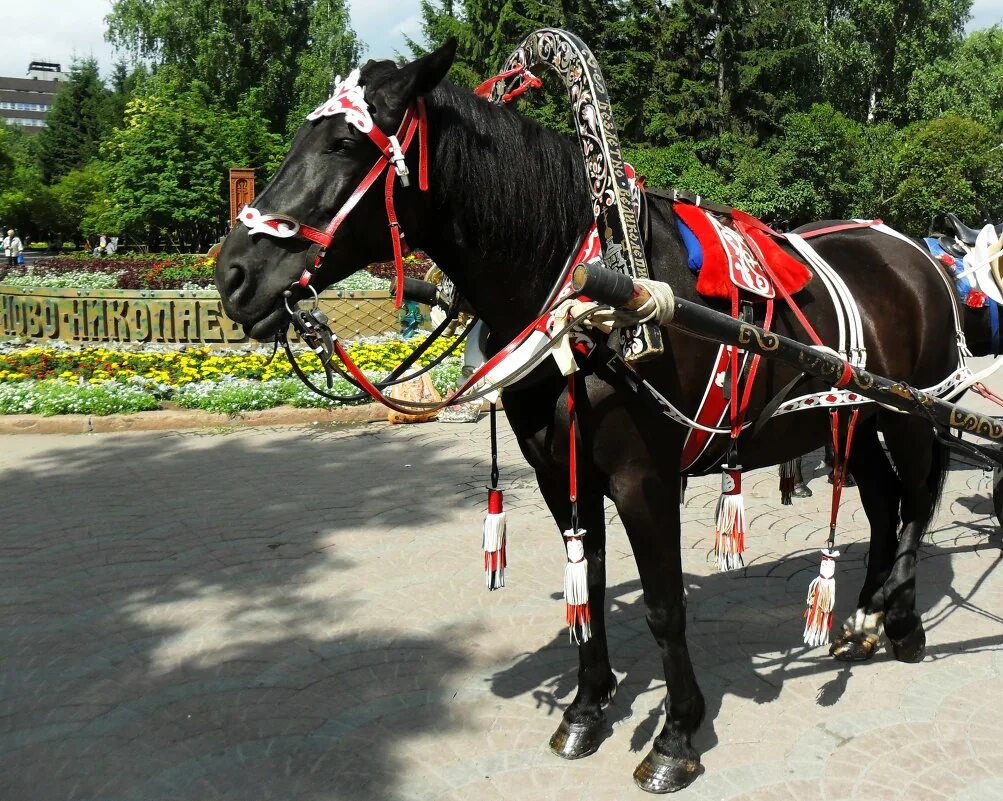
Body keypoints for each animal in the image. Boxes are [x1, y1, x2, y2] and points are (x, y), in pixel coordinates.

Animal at [213, 45, 962, 793]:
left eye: (342, 144)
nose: (232, 275)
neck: (593, 295)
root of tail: (912, 251)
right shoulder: (560, 474)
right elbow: (590, 584)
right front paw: (586, 708)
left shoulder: (643, 478)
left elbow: (663, 605)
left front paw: (675, 735)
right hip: (851, 419)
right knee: (882, 501)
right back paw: (864, 615)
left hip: (910, 414)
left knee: (916, 504)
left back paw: (900, 619)